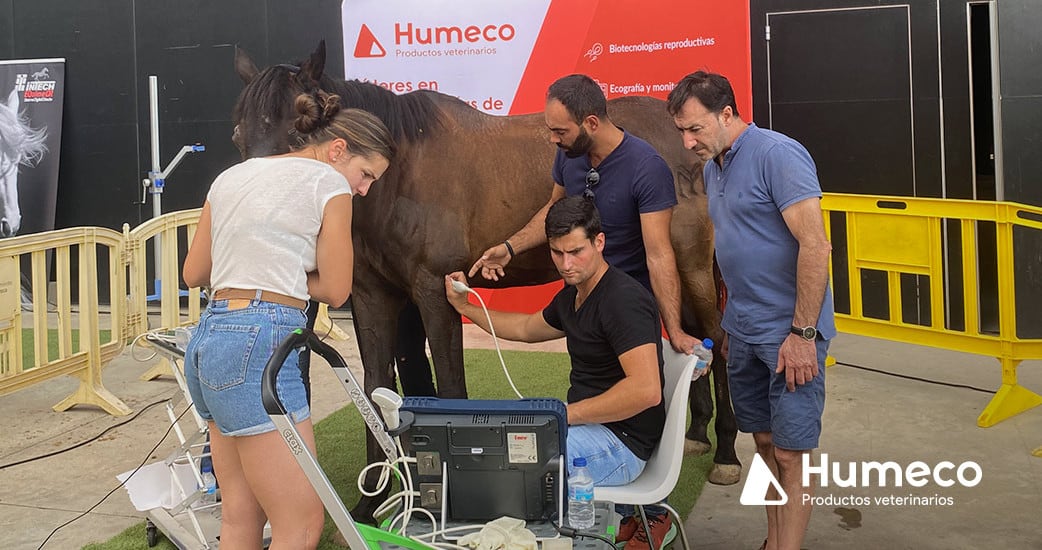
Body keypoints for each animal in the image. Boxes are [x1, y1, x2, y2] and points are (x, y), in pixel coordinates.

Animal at [234, 41, 741, 520]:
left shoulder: (433, 292)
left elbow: (450, 386)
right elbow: (374, 386)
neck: (400, 171)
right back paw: (697, 433)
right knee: (687, 336)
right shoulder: (372, 297)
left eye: (305, 118)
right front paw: (367, 504)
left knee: (715, 340)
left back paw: (726, 453)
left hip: (688, 264)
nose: (258, 218)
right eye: (239, 131)